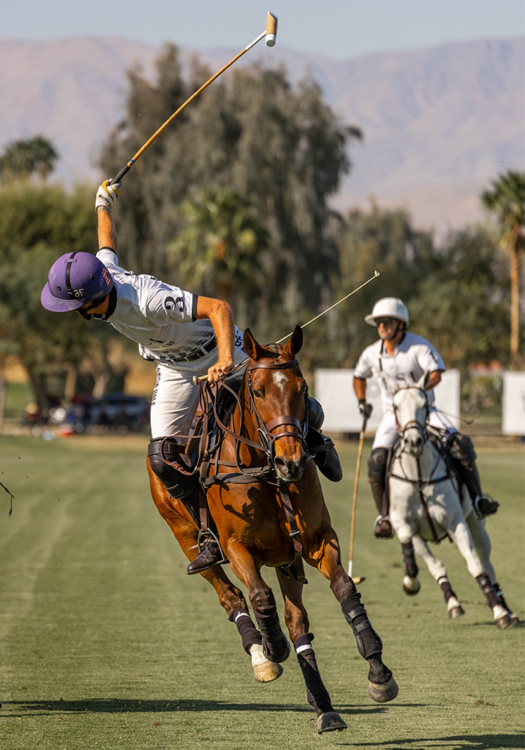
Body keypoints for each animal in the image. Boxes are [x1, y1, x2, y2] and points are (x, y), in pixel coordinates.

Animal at [147, 328, 398, 736]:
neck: (264, 471)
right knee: (231, 595)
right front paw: (272, 645)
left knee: (298, 623)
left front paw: (378, 671)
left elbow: (344, 588)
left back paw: (324, 708)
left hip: (286, 560)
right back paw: (262, 655)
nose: (291, 462)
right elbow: (260, 598)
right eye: (258, 390)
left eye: (303, 387)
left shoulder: (316, 540)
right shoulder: (236, 547)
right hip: (186, 538)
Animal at [386, 374, 512, 632]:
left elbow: (476, 566)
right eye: (396, 407)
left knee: (486, 561)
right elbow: (412, 546)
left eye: (424, 405)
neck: (419, 476)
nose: (413, 441)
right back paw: (453, 603)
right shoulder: (404, 522)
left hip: (476, 523)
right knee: (437, 565)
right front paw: (410, 581)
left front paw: (499, 612)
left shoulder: (456, 523)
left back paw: (505, 607)